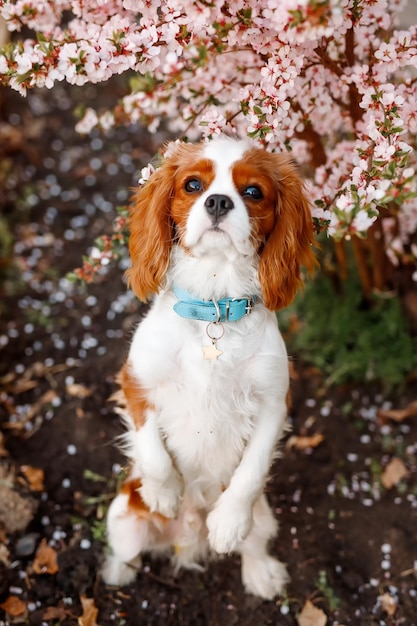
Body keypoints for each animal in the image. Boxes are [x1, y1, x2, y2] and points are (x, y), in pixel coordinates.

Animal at [101, 138, 316, 600]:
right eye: (192, 185)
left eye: (253, 192)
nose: (218, 201)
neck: (213, 305)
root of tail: (188, 537)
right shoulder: (137, 382)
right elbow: (151, 448)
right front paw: (165, 493)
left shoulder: (274, 403)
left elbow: (252, 470)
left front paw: (227, 521)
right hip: (122, 516)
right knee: (127, 553)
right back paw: (118, 573)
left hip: (265, 519)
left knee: (254, 544)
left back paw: (258, 571)